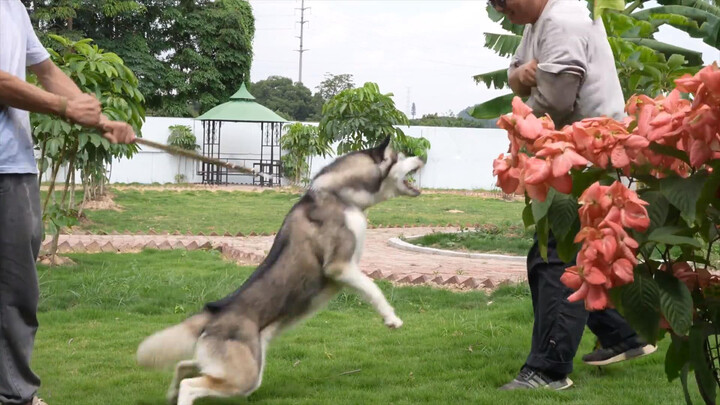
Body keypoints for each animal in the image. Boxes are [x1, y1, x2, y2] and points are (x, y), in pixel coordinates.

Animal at [138, 137, 424, 402]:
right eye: (401, 156)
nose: (422, 157)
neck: (340, 195)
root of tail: (214, 313)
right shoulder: (340, 267)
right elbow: (374, 289)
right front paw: (391, 318)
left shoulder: (348, 269)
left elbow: (369, 286)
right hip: (245, 377)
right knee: (191, 383)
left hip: (235, 367)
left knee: (184, 366)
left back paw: (172, 390)